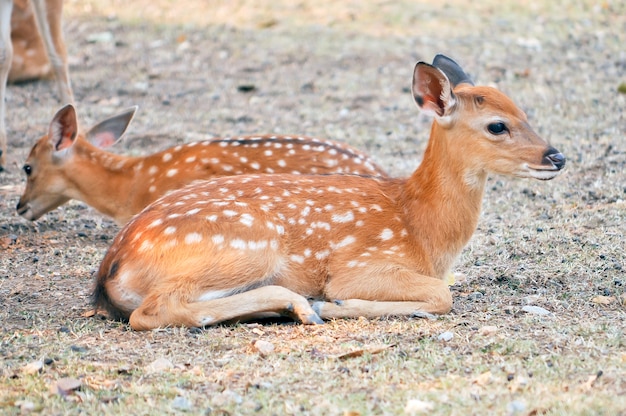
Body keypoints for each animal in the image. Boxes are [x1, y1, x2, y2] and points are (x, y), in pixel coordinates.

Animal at [92, 55, 564, 330]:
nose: (557, 156)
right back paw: (303, 305)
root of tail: (111, 269)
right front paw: (338, 303)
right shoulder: (359, 264)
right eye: (497, 125)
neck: (422, 230)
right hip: (244, 244)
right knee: (151, 312)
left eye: (523, 111)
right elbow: (441, 295)